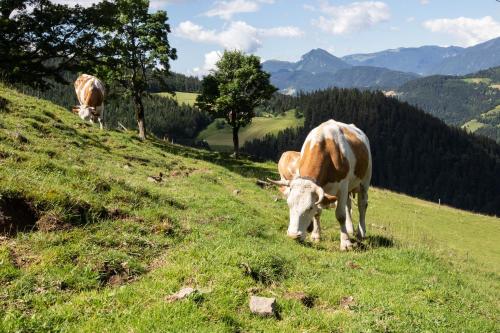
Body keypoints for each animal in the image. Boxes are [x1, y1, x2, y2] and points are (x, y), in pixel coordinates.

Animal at [270, 119, 372, 249]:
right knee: (348, 205)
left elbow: (340, 215)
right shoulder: (322, 189)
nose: (293, 236)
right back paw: (350, 229)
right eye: (289, 204)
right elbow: (318, 212)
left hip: (365, 181)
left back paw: (361, 232)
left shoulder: (342, 186)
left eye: (309, 207)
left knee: (362, 205)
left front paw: (345, 243)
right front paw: (316, 236)